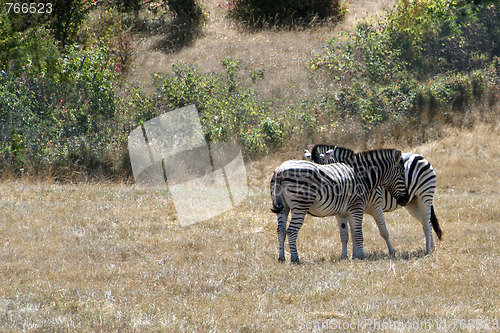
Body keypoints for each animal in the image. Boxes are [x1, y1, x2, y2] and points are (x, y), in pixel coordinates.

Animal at [272, 148, 408, 262]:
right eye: (402, 174)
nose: (405, 200)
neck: (362, 176)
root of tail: (281, 170)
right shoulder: (357, 207)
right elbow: (358, 234)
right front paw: (361, 256)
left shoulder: (343, 212)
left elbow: (348, 234)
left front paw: (351, 256)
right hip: (301, 205)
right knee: (291, 231)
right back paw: (295, 259)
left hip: (283, 207)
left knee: (281, 230)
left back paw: (281, 257)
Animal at [306, 144, 444, 255]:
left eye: (325, 174)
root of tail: (419, 156)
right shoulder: (348, 209)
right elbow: (349, 234)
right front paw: (350, 255)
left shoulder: (375, 205)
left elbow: (382, 231)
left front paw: (391, 252)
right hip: (412, 203)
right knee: (426, 222)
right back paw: (432, 246)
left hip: (424, 195)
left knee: (427, 222)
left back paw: (428, 250)